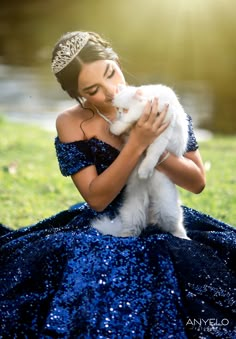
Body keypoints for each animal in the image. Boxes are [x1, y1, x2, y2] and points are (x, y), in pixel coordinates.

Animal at [91, 83, 190, 240]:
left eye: (125, 109)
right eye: (117, 109)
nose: (119, 113)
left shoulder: (163, 133)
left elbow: (152, 154)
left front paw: (144, 172)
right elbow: (125, 124)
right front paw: (116, 128)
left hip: (167, 210)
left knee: (176, 227)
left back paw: (183, 238)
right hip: (132, 210)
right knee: (132, 229)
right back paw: (124, 237)